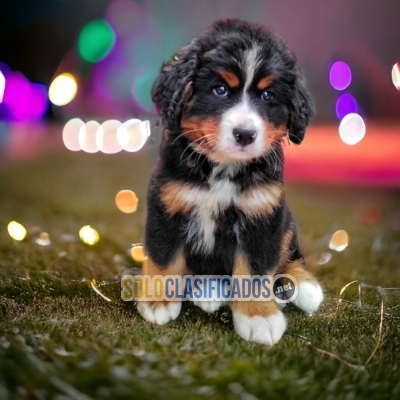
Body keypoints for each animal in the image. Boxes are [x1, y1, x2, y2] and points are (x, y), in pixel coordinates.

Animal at [136, 18, 324, 346]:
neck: (223, 168)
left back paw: (306, 287)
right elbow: (163, 256)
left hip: (286, 221)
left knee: (290, 255)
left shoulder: (263, 216)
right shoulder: (168, 205)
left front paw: (260, 317)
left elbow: (256, 272)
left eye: (267, 96)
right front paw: (158, 301)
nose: (245, 134)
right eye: (220, 89)